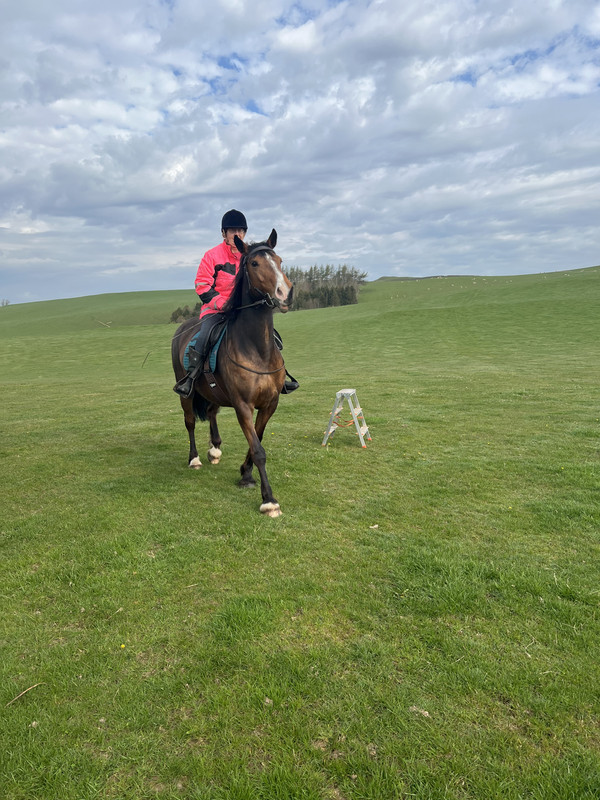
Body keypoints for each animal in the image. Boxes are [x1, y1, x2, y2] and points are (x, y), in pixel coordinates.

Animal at [171, 229, 294, 518]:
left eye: (279, 260)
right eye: (254, 263)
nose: (285, 293)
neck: (257, 348)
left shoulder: (270, 403)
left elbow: (256, 439)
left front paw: (245, 474)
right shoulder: (242, 405)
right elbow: (258, 449)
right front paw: (269, 500)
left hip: (212, 392)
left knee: (211, 412)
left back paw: (214, 449)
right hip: (185, 393)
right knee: (190, 421)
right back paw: (195, 458)